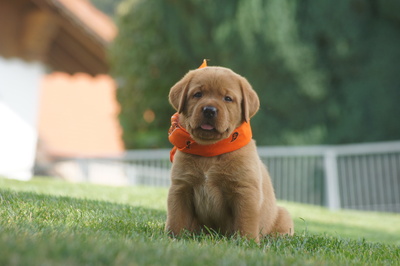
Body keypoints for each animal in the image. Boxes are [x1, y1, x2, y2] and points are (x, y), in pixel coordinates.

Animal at [166, 65, 294, 241]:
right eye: (197, 94)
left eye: (227, 98)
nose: (209, 110)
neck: (211, 150)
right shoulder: (180, 188)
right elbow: (176, 219)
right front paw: (173, 238)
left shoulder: (245, 191)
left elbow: (245, 223)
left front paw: (247, 242)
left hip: (283, 215)